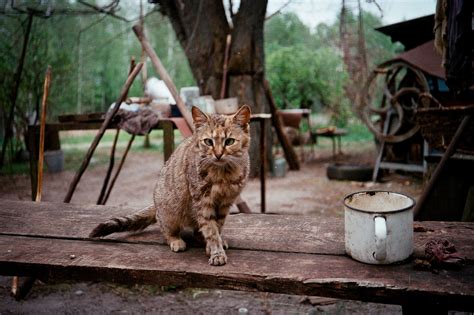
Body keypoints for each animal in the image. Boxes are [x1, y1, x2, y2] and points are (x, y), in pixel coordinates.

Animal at [90, 105, 252, 266]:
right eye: (208, 142)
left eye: (229, 141)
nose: (218, 154)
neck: (223, 174)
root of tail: (155, 204)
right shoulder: (202, 202)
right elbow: (211, 229)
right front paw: (216, 252)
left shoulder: (225, 203)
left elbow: (217, 226)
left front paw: (214, 245)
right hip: (170, 212)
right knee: (166, 229)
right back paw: (176, 240)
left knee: (196, 231)